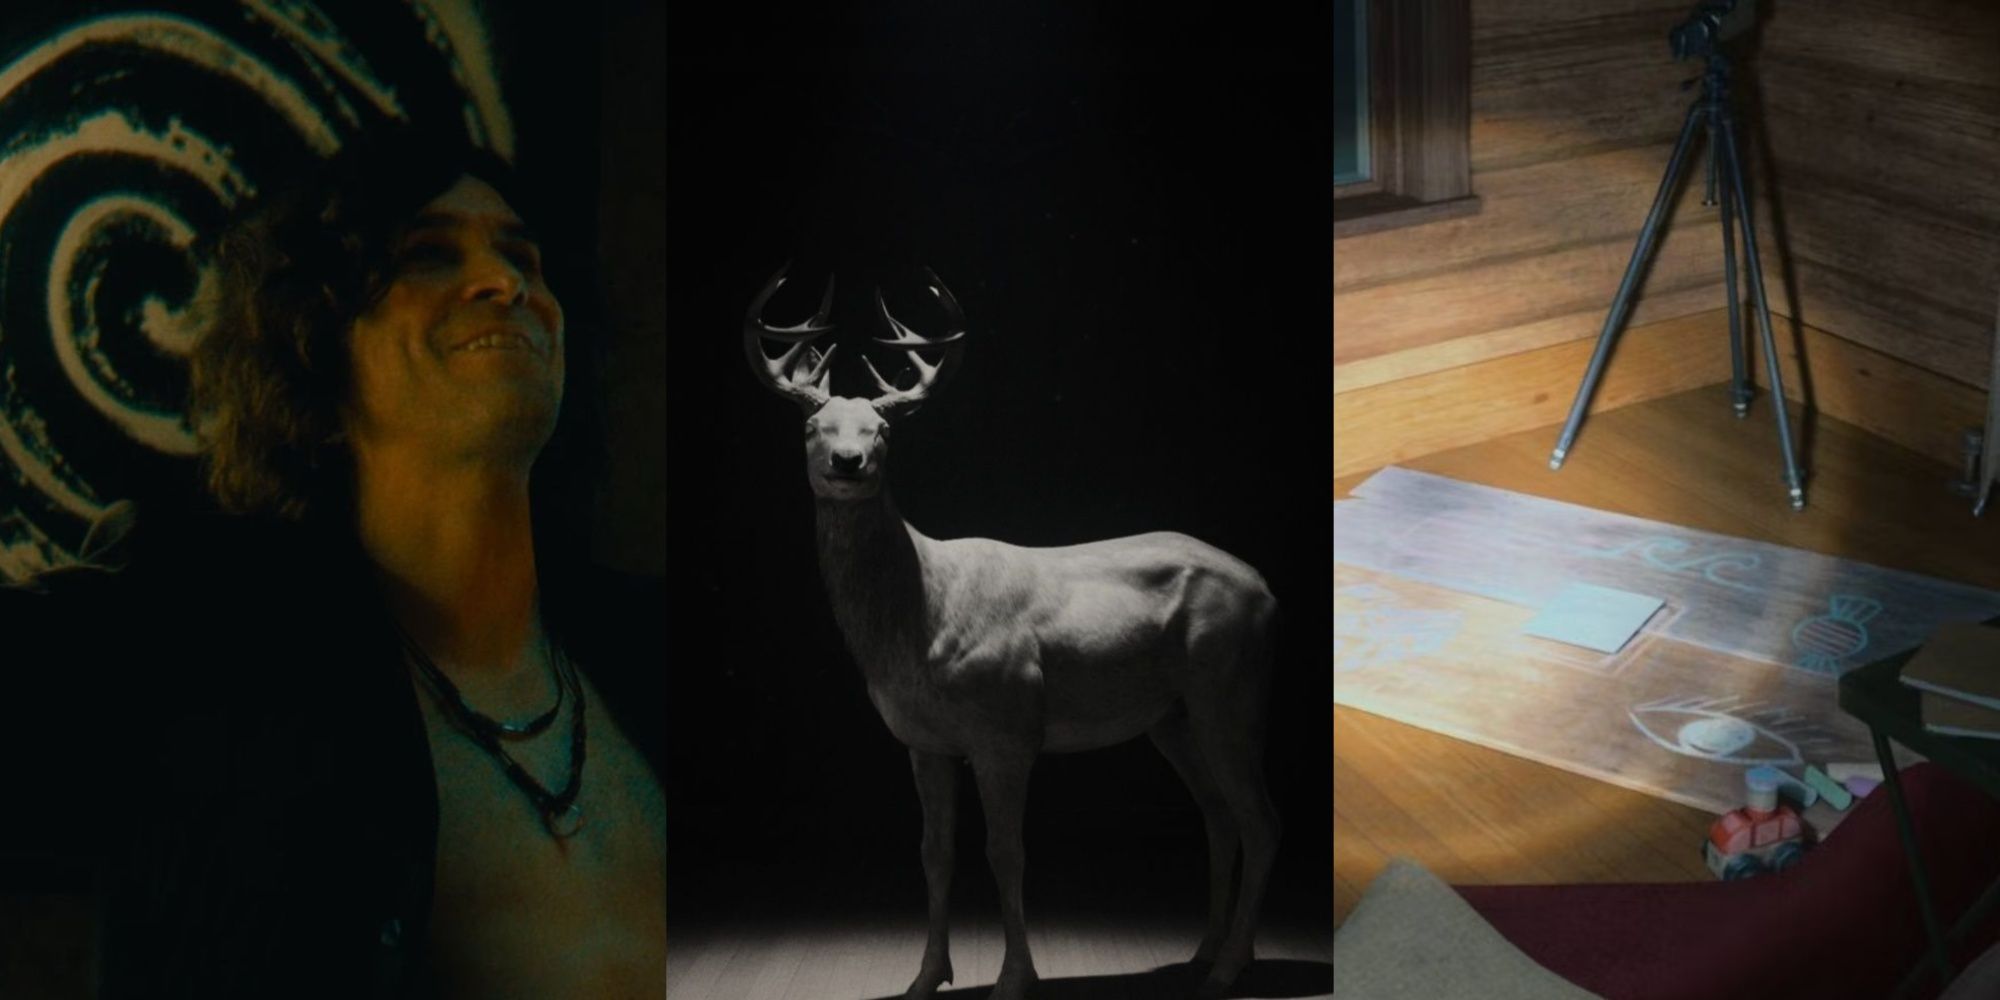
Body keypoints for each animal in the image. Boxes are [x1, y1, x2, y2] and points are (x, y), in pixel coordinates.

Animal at [740, 266, 1280, 1000]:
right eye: (812, 425)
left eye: (883, 430)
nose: (847, 461)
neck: (922, 617)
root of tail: (1268, 594)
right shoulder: (923, 740)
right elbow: (934, 853)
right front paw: (925, 977)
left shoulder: (1007, 728)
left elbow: (1006, 853)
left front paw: (1013, 979)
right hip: (1171, 715)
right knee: (1219, 816)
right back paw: (1203, 954)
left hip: (1229, 687)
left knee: (1259, 820)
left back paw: (1228, 968)